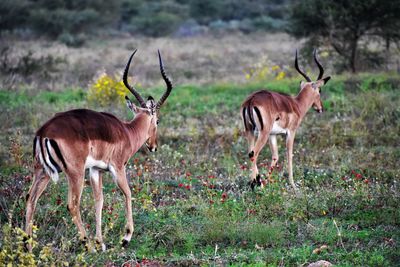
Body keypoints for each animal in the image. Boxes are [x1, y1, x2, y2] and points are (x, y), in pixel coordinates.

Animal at [24, 49, 173, 251]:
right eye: (157, 120)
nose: (153, 146)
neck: (127, 132)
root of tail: (43, 132)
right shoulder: (118, 168)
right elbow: (128, 193)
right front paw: (125, 238)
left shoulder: (95, 170)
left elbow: (99, 200)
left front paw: (101, 242)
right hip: (75, 173)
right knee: (72, 204)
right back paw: (87, 245)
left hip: (42, 171)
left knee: (30, 199)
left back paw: (28, 247)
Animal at [241, 50, 332, 192]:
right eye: (320, 90)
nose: (320, 108)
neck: (296, 105)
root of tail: (251, 100)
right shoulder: (291, 132)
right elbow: (289, 155)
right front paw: (293, 185)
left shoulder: (273, 135)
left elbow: (275, 156)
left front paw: (268, 181)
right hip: (262, 133)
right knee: (254, 153)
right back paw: (257, 183)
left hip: (250, 132)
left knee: (250, 152)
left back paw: (254, 182)